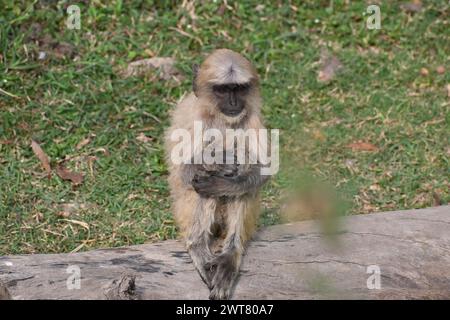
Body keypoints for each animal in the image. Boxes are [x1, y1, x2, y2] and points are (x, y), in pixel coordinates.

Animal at [166, 48, 268, 298]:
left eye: (238, 88)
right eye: (223, 89)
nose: (233, 102)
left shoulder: (252, 117)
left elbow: (262, 170)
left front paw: (225, 181)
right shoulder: (196, 118)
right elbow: (181, 171)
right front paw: (219, 160)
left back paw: (231, 253)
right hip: (183, 210)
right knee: (201, 183)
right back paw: (198, 246)